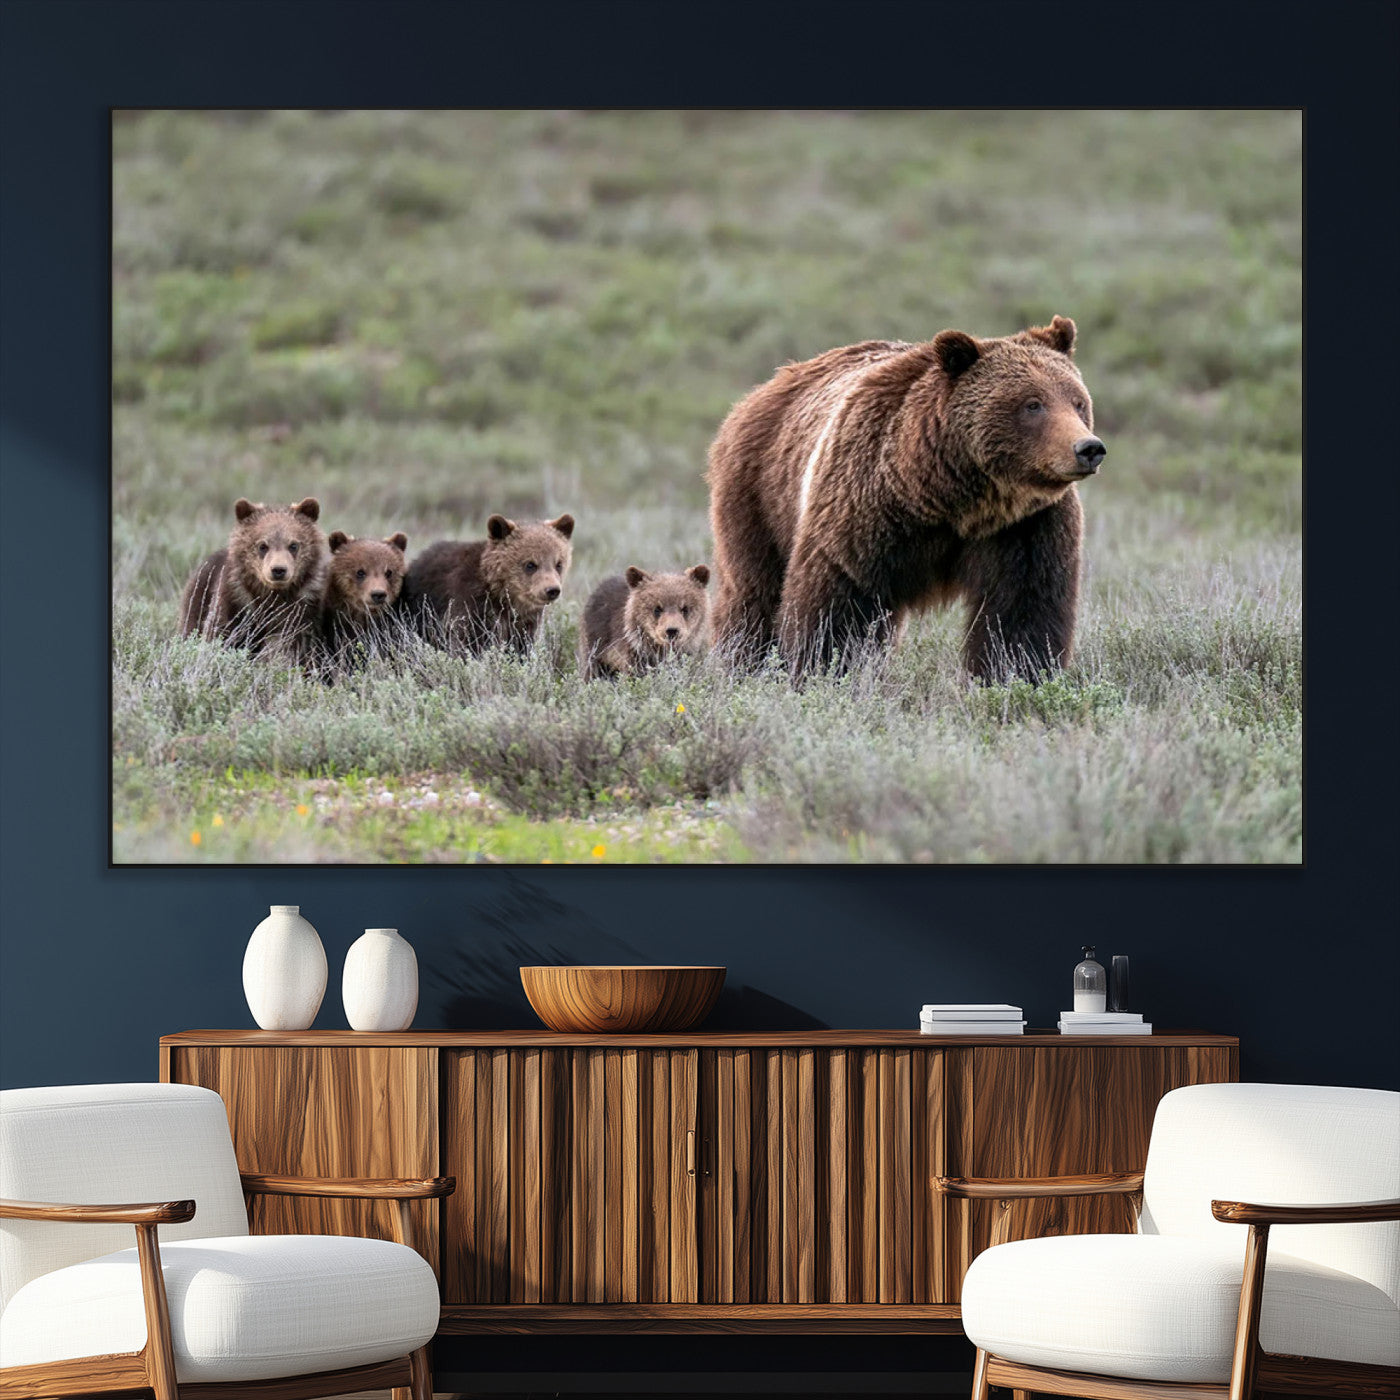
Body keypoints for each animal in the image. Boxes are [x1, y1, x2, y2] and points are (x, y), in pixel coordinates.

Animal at [178, 497, 329, 661]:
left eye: (293, 545)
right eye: (262, 545)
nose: (278, 570)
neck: (273, 594)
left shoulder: (303, 607)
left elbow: (296, 642)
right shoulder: (236, 600)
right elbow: (220, 632)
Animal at [402, 513, 575, 654]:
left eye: (559, 564)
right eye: (530, 564)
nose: (552, 590)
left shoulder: (525, 622)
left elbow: (521, 646)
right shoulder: (470, 606)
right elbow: (468, 642)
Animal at [705, 315, 1105, 681]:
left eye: (1077, 402)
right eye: (1032, 404)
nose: (1088, 448)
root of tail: (766, 387)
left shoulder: (1025, 525)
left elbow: (1023, 611)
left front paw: (1015, 676)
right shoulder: (864, 509)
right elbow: (837, 604)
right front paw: (823, 672)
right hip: (760, 493)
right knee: (753, 592)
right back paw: (743, 662)